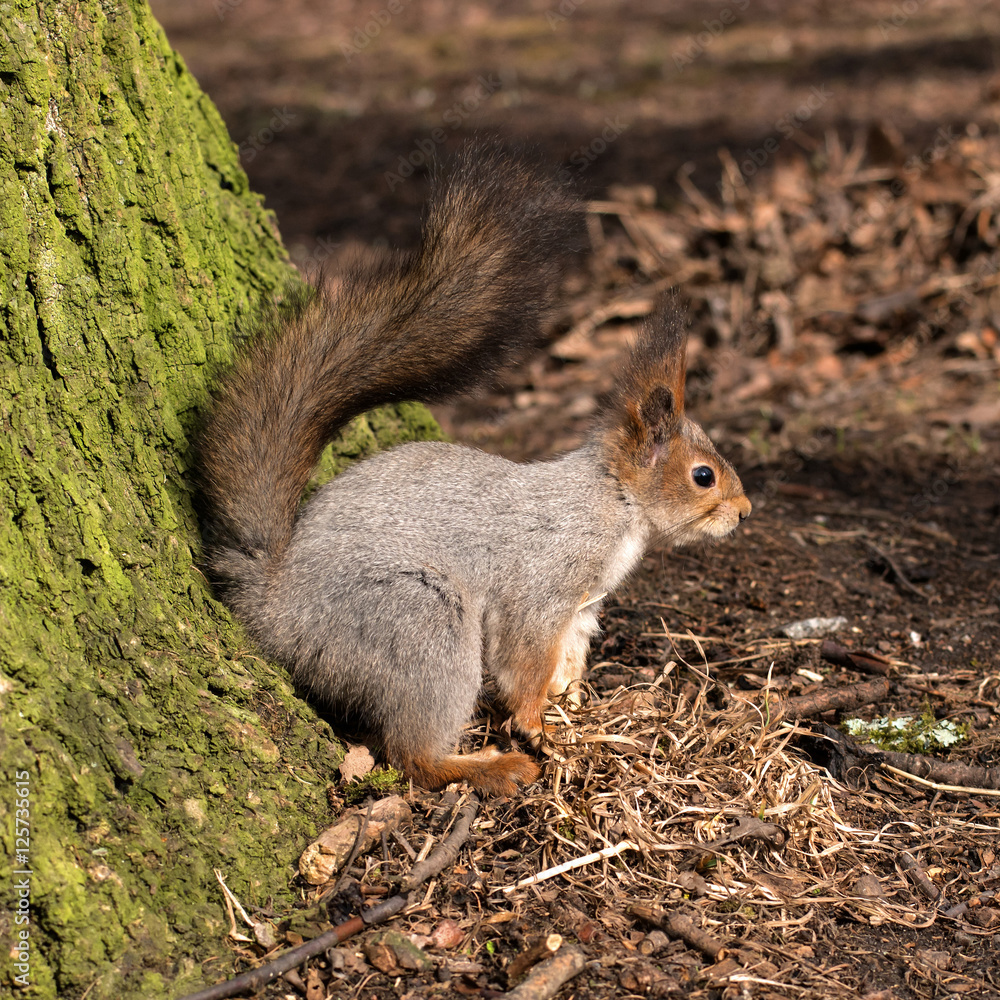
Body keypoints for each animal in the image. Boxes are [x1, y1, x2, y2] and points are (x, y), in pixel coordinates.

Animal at [199, 146, 751, 797]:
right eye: (703, 476)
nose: (745, 512)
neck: (613, 499)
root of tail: (277, 608)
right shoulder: (544, 578)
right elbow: (525, 653)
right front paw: (536, 724)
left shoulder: (582, 608)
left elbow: (567, 659)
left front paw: (572, 705)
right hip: (420, 620)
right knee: (410, 754)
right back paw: (489, 766)